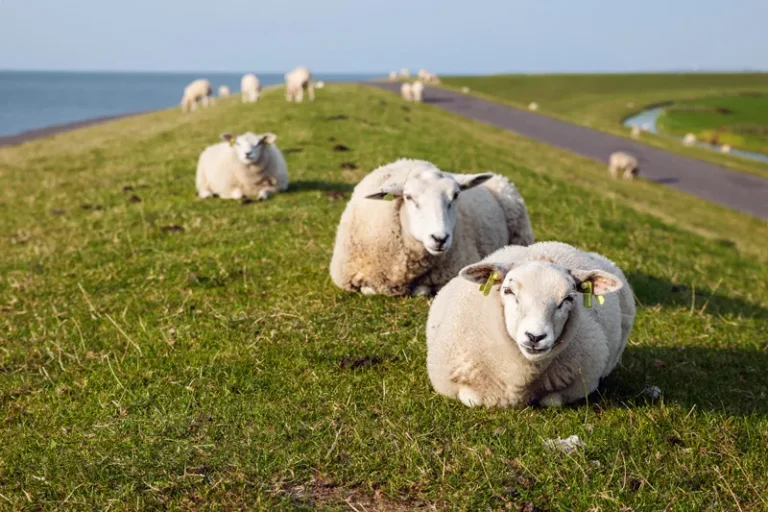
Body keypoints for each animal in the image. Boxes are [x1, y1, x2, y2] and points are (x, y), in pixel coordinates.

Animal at [426, 241, 636, 408]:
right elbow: (472, 399)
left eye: (568, 299)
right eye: (508, 291)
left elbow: (552, 401)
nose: (535, 337)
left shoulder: (582, 384)